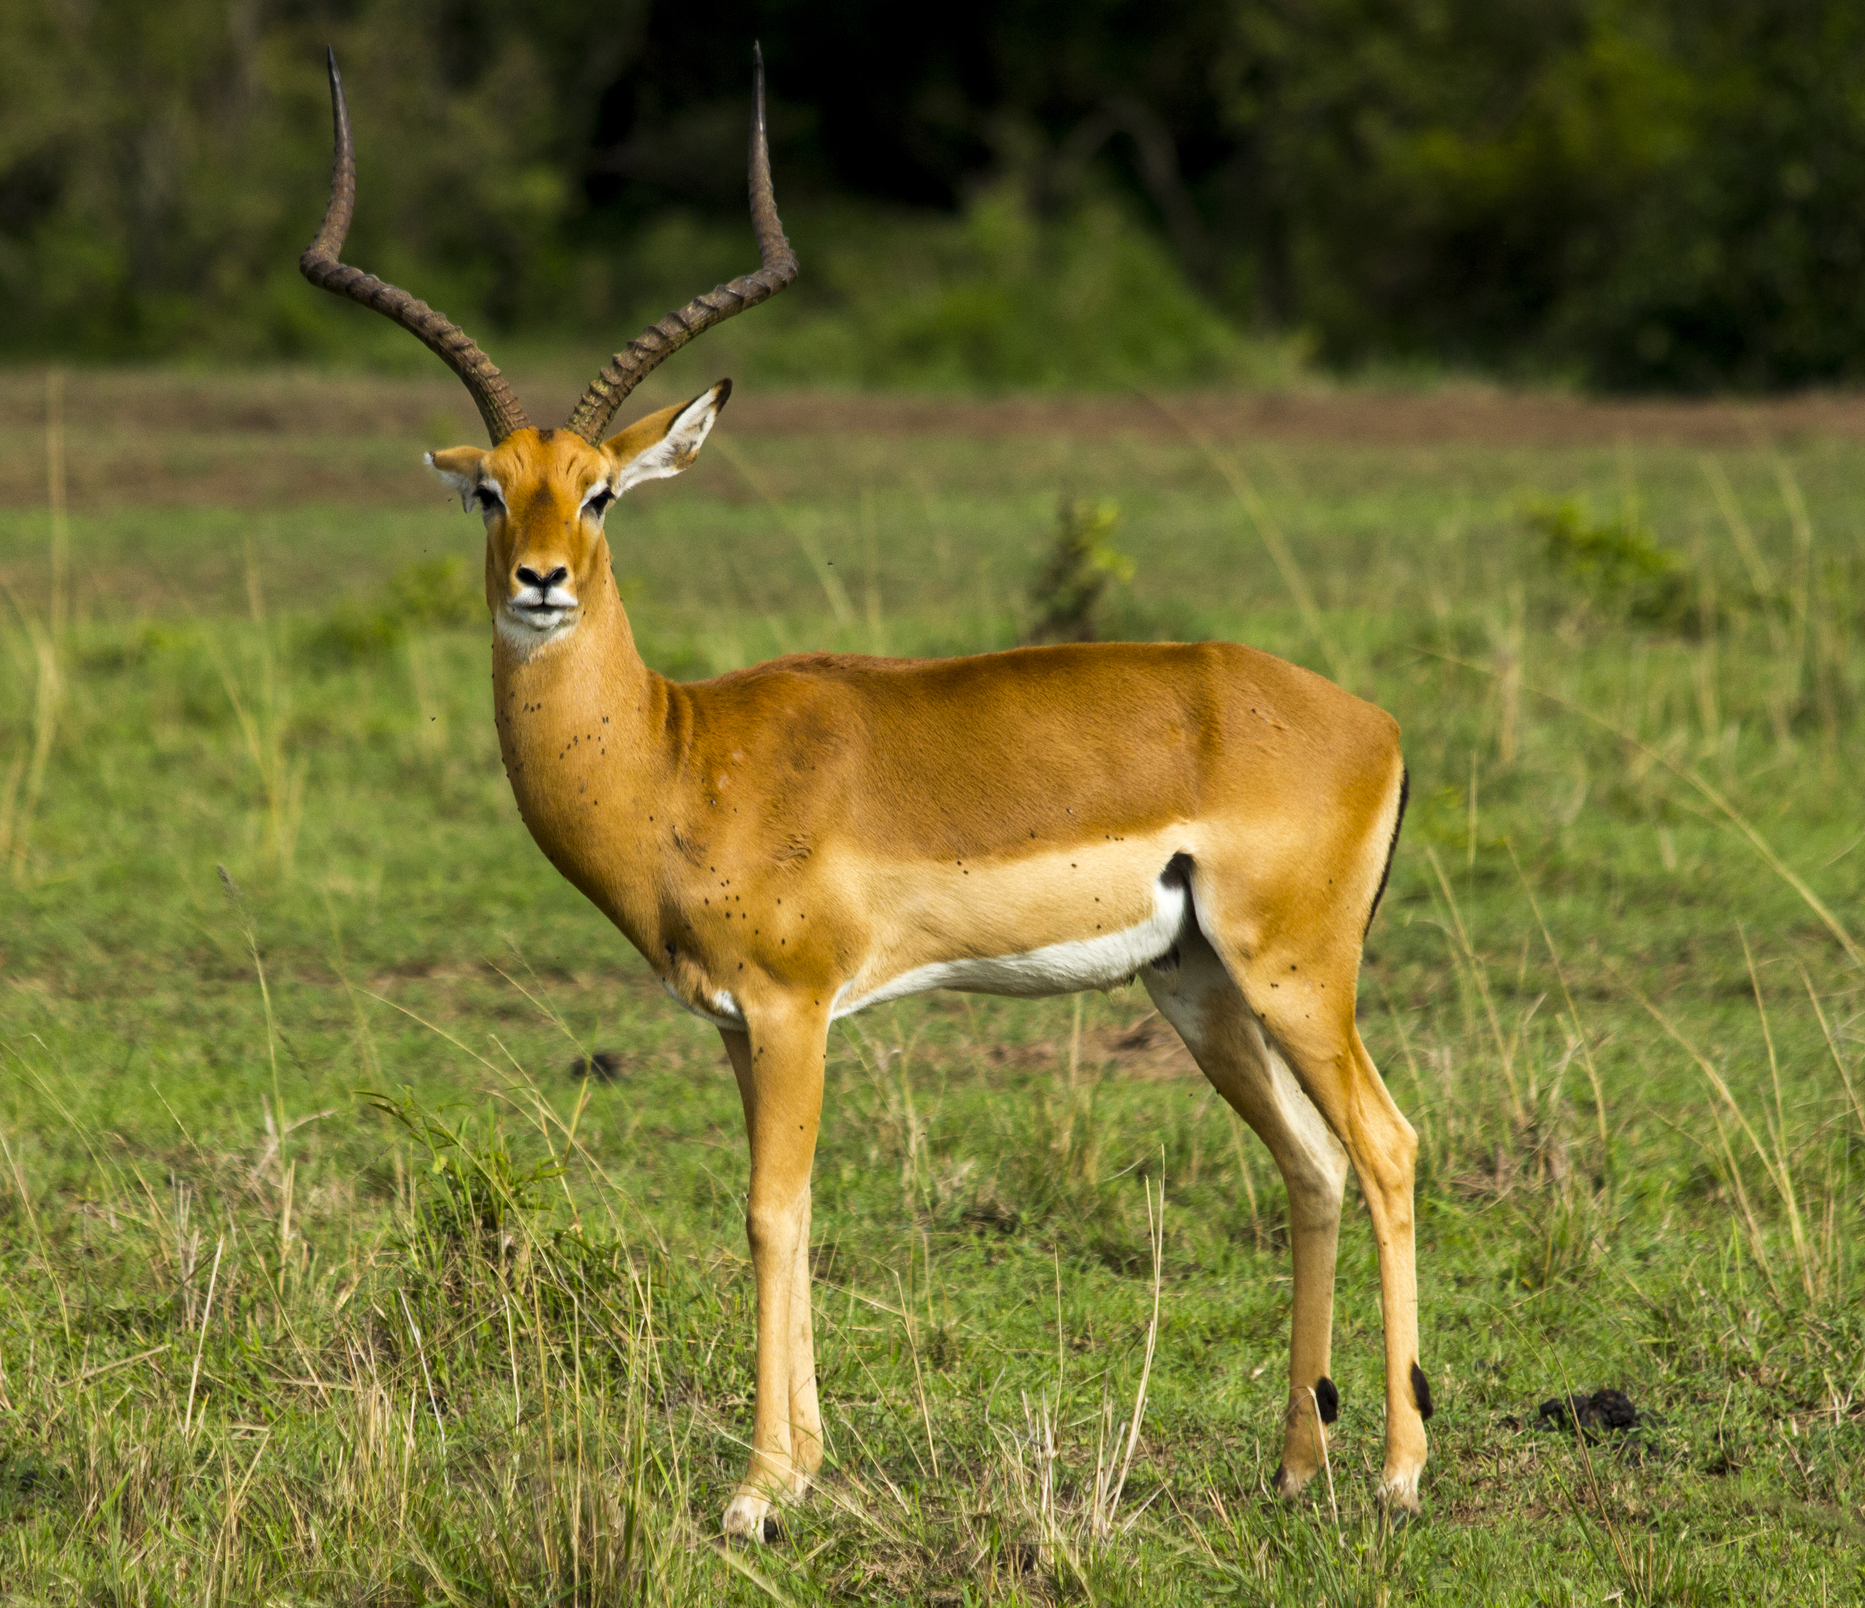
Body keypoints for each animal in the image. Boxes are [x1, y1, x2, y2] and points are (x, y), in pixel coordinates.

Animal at [301, 47, 1431, 1539]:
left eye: (599, 493)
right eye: (492, 491)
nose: (539, 583)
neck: (681, 752)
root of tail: (1375, 725)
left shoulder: (793, 1011)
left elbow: (771, 1211)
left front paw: (757, 1492)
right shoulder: (735, 1024)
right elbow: (775, 1208)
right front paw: (804, 1464)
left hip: (1294, 973)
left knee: (1389, 1146)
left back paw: (1401, 1474)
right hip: (1196, 986)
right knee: (1311, 1161)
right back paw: (1297, 1463)